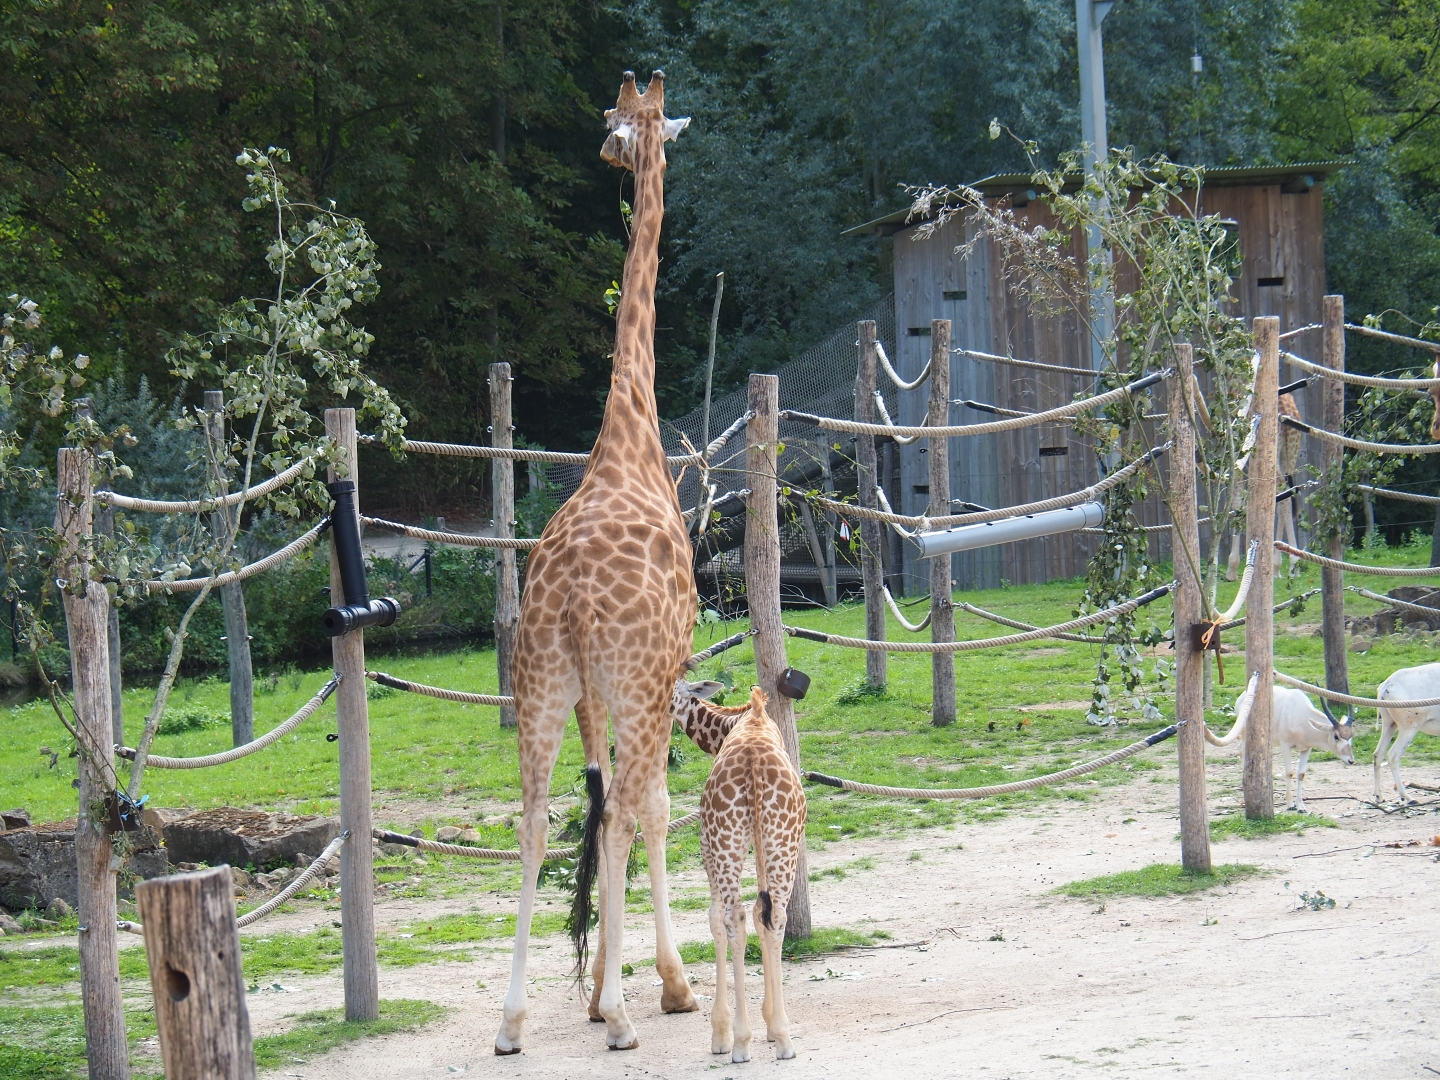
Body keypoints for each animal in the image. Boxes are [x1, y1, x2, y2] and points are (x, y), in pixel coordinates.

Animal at [671, 679, 806, 1063]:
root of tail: (753, 765)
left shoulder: (706, 843)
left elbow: (719, 919)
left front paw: (722, 1034)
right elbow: (762, 914)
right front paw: (769, 1023)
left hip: (724, 839)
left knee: (736, 916)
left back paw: (739, 1042)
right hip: (780, 838)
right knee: (771, 917)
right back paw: (779, 1038)